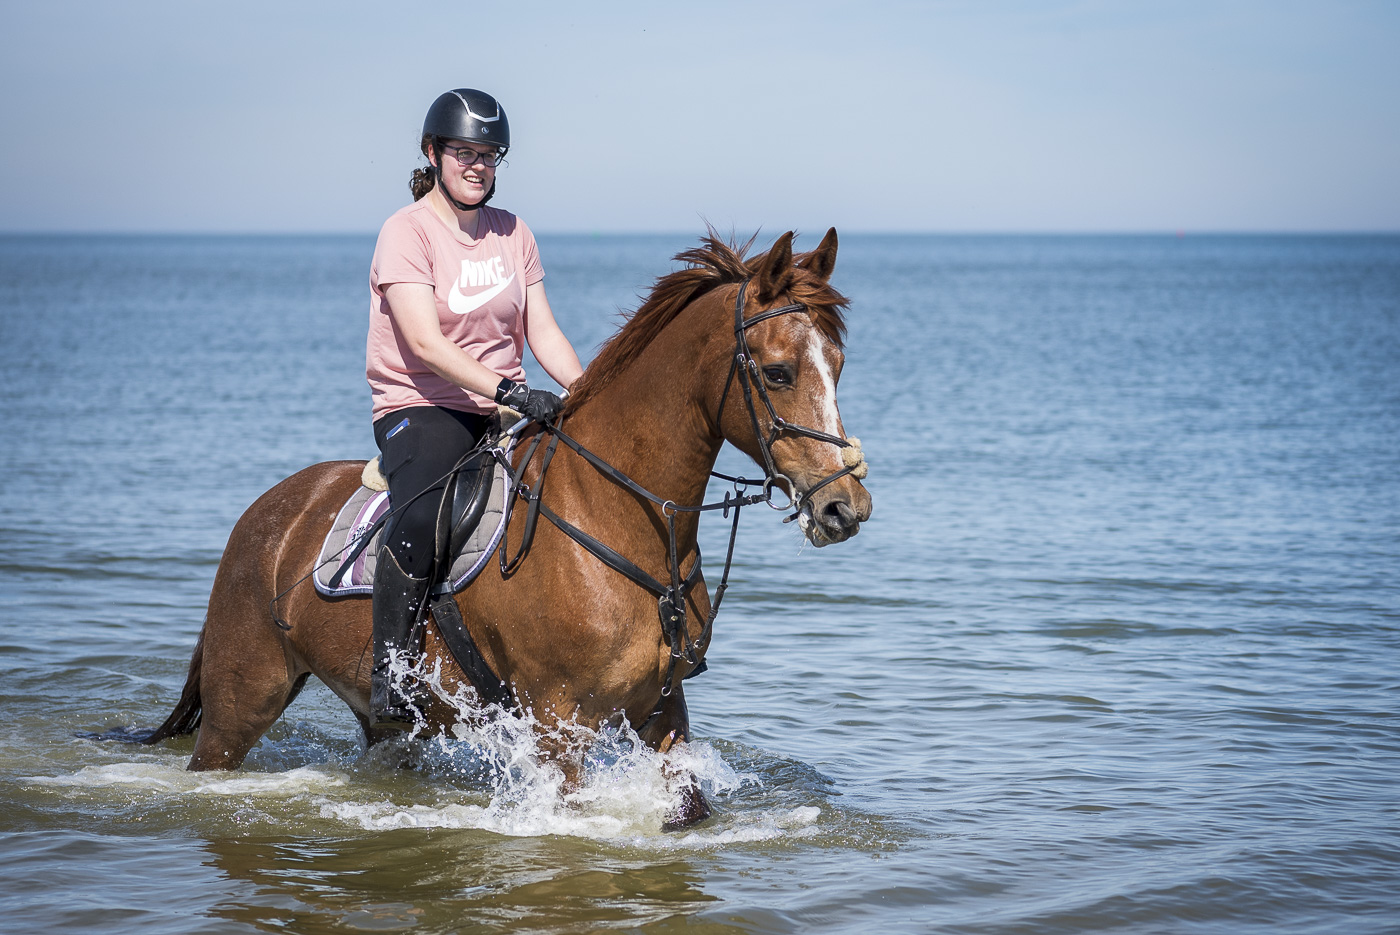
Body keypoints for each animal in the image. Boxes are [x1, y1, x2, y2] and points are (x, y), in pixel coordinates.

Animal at [139, 226, 862, 823]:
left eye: (838, 365)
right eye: (778, 372)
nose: (845, 507)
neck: (615, 513)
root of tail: (265, 514)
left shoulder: (663, 711)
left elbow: (687, 806)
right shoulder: (557, 725)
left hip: (386, 722)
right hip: (241, 703)